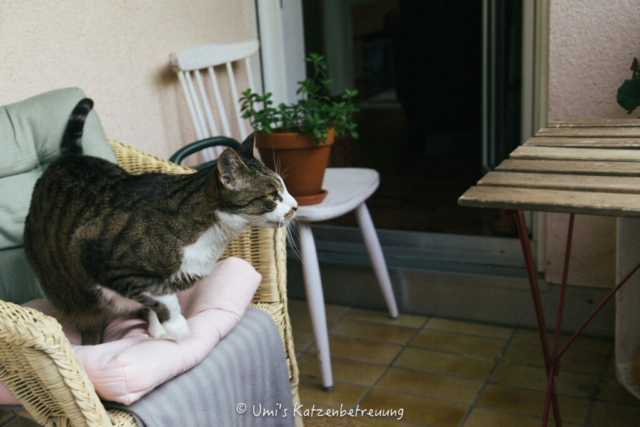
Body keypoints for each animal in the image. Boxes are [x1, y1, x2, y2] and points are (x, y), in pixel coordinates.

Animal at [22, 98, 298, 346]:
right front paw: (177, 327)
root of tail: (65, 160)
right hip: (74, 295)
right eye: (273, 195)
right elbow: (161, 295)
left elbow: (155, 300)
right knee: (89, 320)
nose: (295, 206)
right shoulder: (106, 262)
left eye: (284, 189)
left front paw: (158, 330)